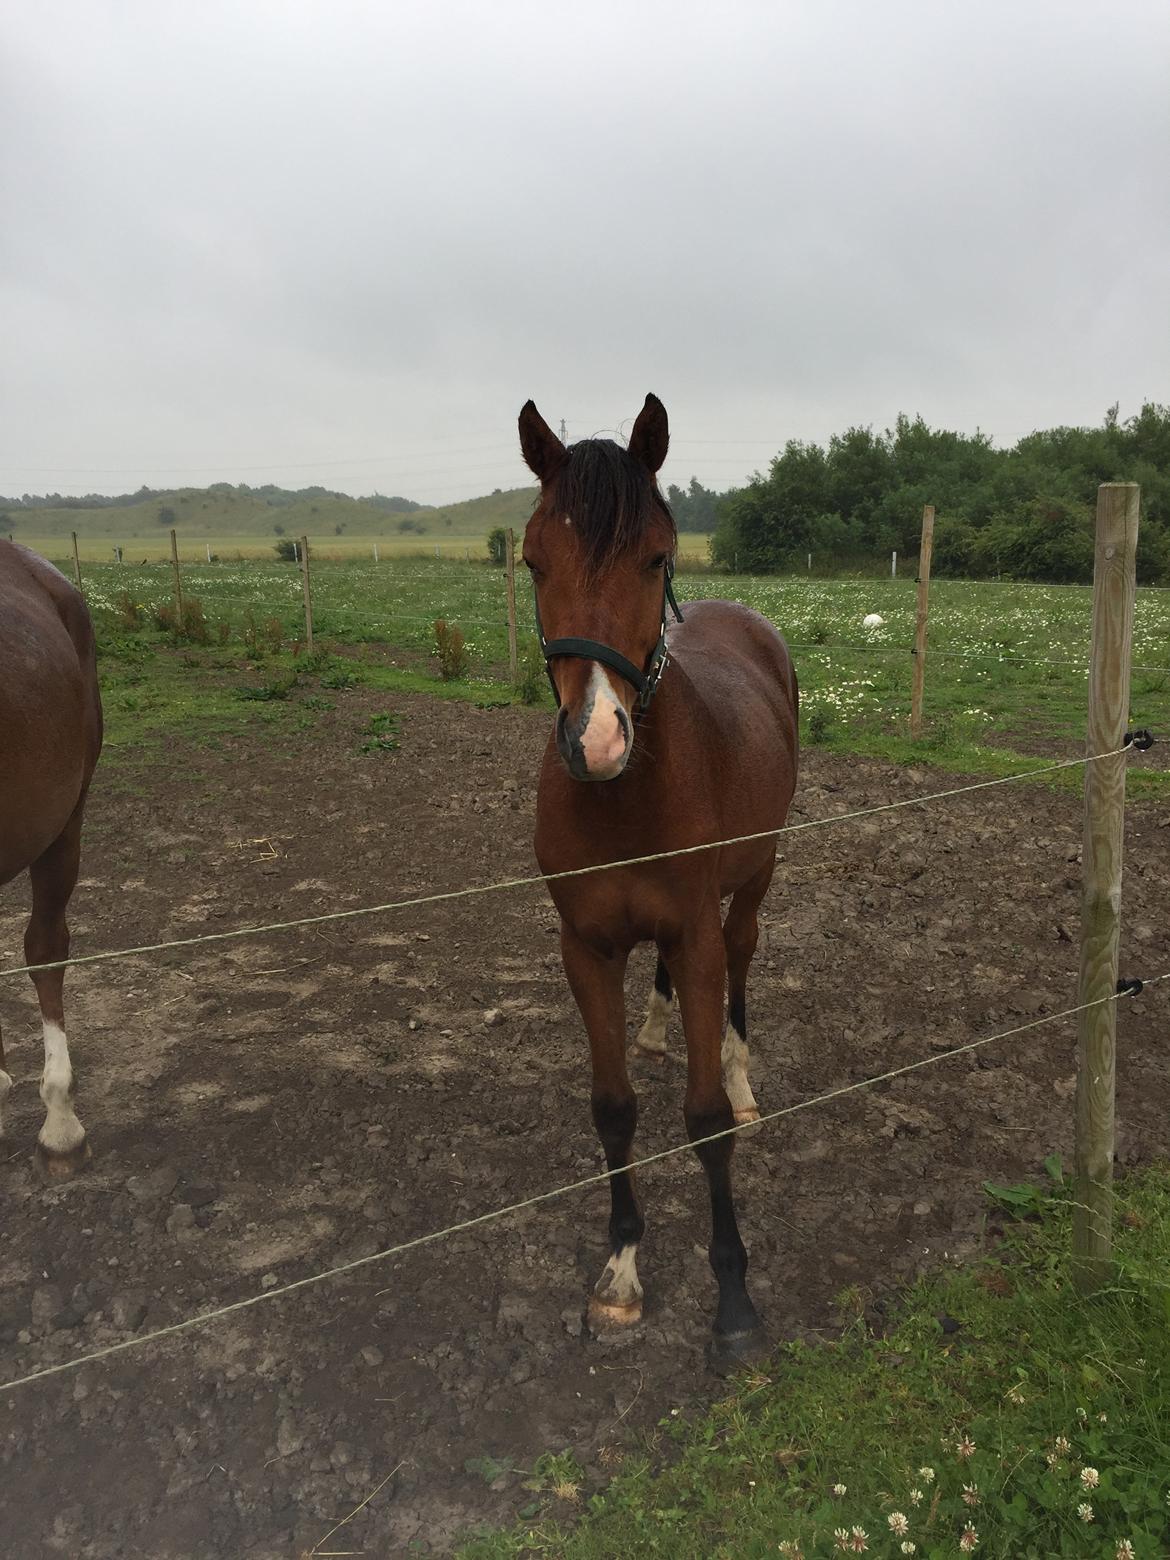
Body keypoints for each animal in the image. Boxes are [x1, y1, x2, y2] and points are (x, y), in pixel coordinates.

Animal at [521, 393, 798, 1366]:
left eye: (653, 555)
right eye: (533, 559)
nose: (596, 738)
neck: (627, 791)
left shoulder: (697, 932)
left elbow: (704, 1119)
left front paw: (736, 1301)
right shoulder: (586, 949)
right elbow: (613, 1109)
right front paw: (621, 1273)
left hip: (754, 882)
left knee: (743, 962)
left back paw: (749, 1083)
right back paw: (652, 1028)